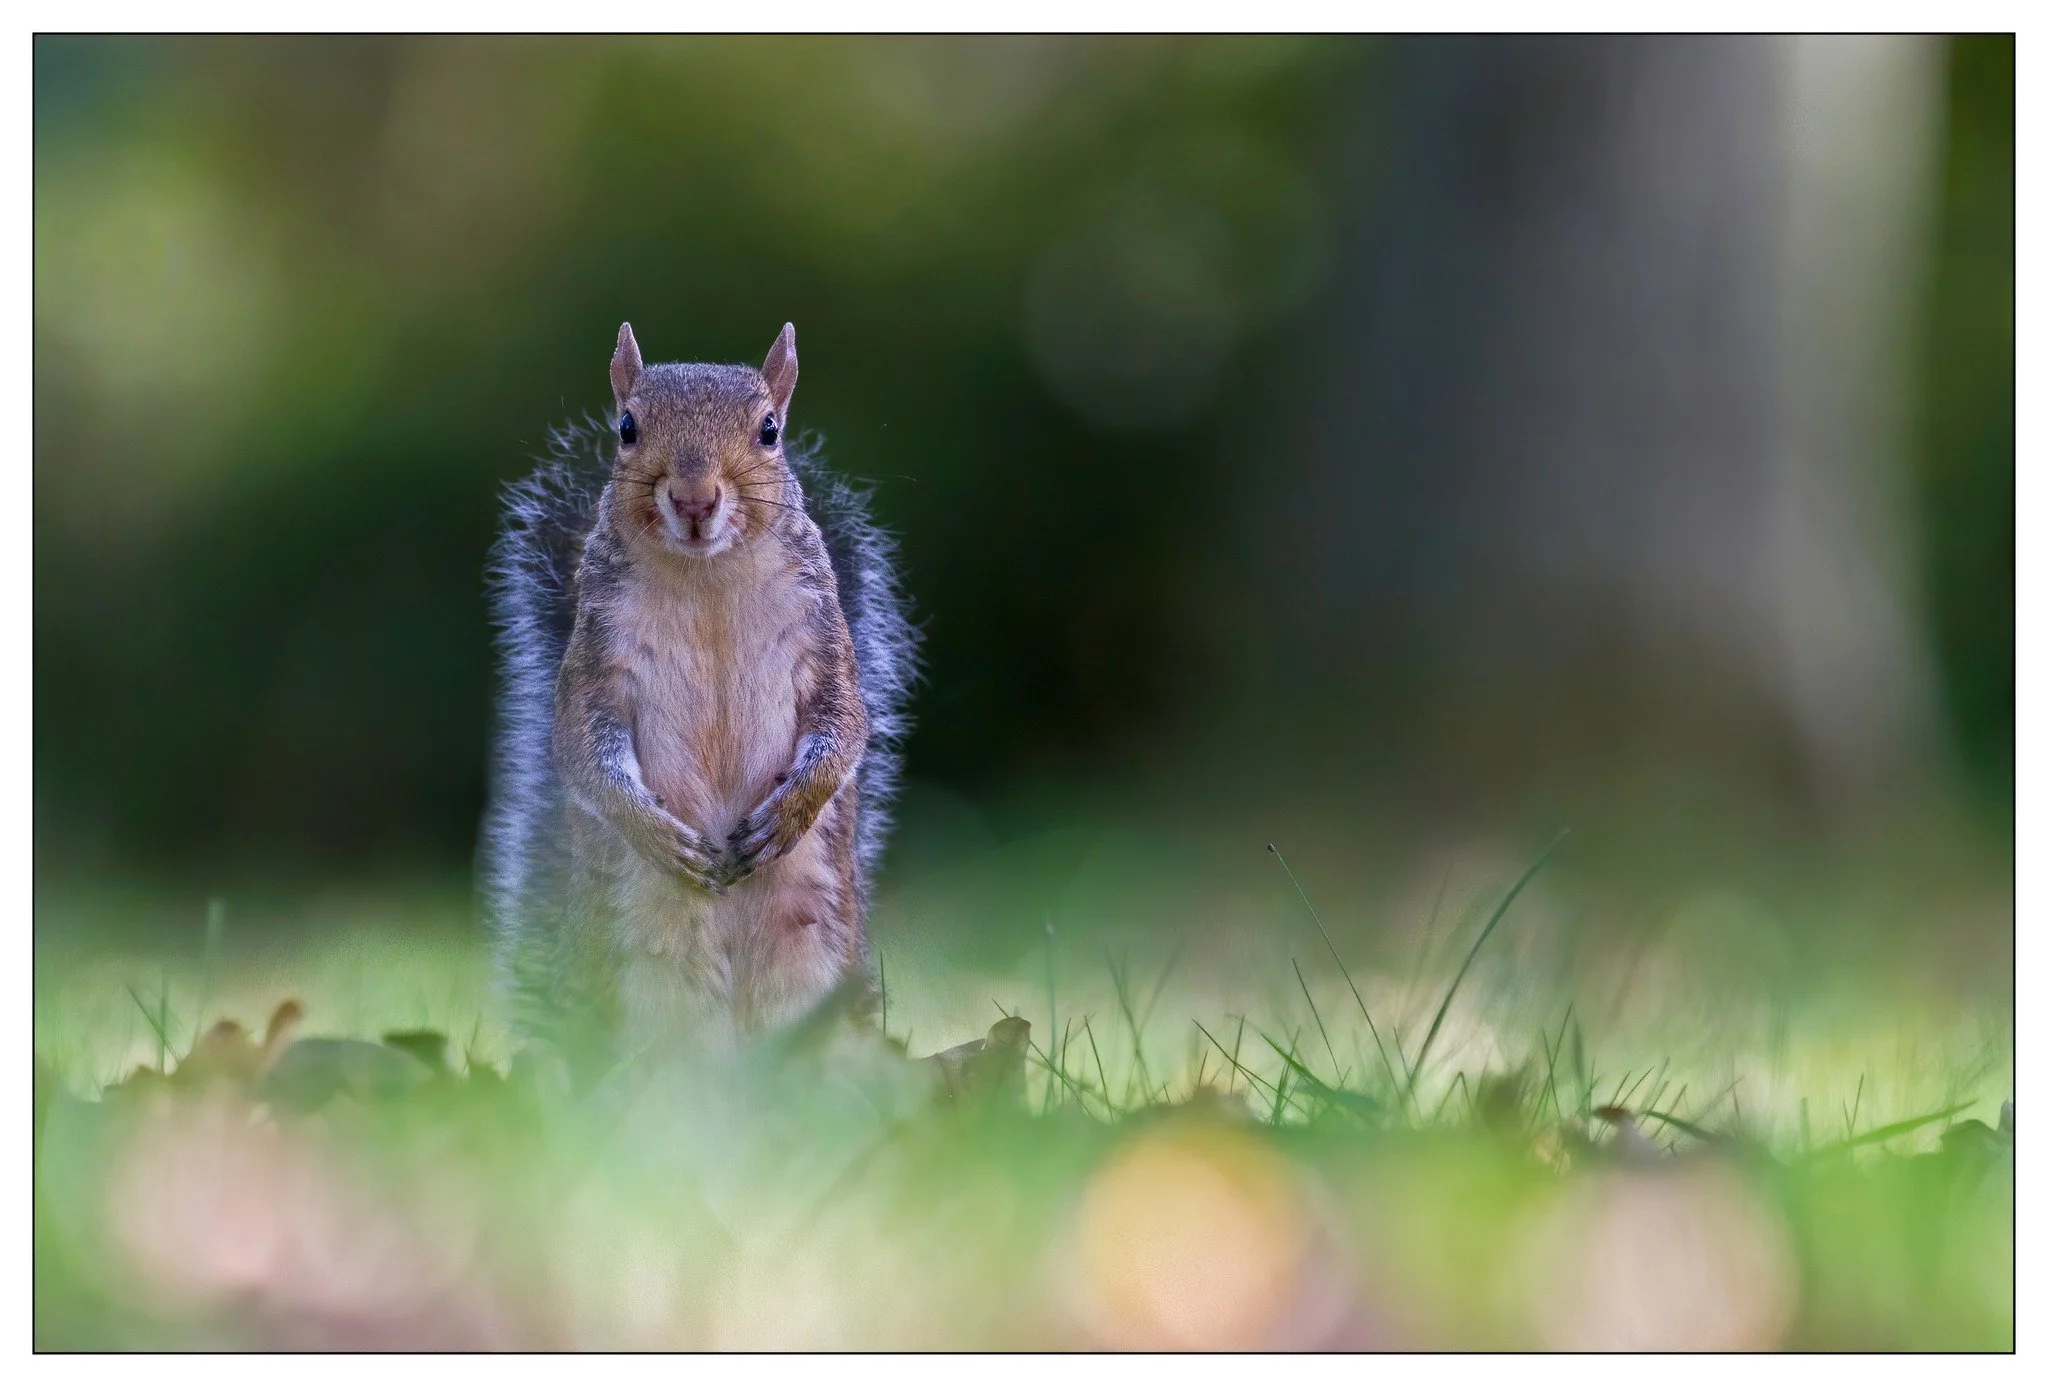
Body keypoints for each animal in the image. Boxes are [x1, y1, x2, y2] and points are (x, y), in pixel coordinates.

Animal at [480, 322, 918, 1080]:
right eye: (626, 428)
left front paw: (790, 812)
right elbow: (582, 749)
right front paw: (655, 832)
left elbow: (846, 728)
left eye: (770, 430)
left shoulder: (824, 643)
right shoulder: (596, 661)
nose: (692, 498)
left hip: (815, 967)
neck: (706, 578)